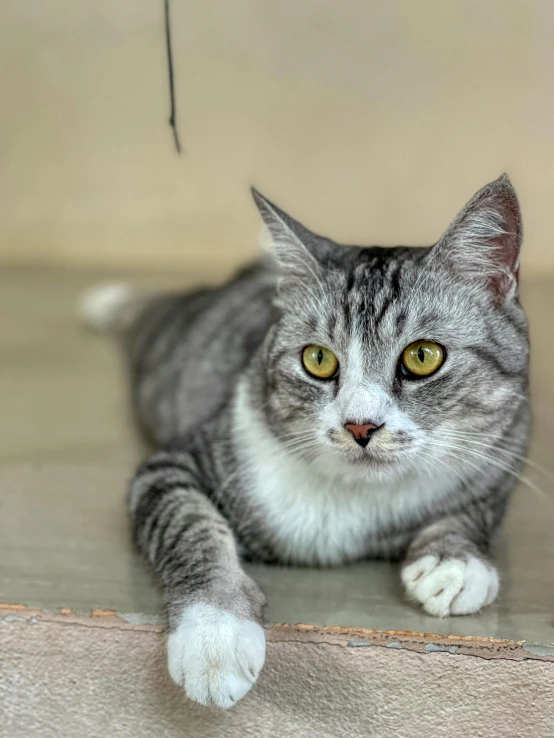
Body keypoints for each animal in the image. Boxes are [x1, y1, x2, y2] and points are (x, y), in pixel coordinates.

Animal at [81, 174, 528, 708]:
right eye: (318, 359)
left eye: (423, 356)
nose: (360, 426)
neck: (352, 501)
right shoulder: (174, 466)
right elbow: (190, 526)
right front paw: (214, 635)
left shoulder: (508, 448)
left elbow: (479, 507)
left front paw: (454, 562)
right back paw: (107, 301)